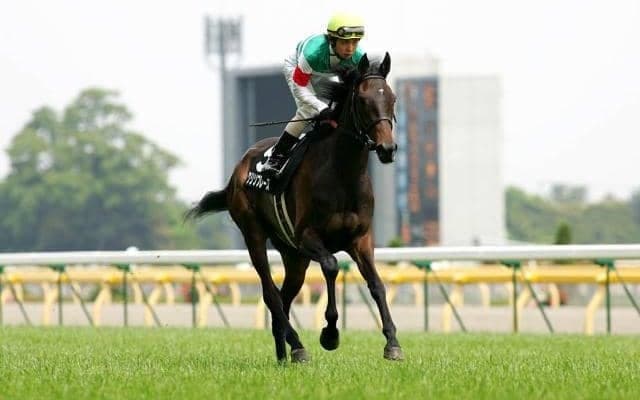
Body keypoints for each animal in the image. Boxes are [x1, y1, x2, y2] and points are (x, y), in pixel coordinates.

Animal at [186, 52, 403, 363]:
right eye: (363, 100)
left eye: (392, 98)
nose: (387, 148)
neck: (343, 174)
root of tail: (237, 172)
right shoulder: (307, 237)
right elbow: (331, 266)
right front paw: (330, 334)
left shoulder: (361, 238)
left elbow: (376, 283)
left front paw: (392, 342)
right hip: (254, 234)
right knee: (270, 292)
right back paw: (297, 345)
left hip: (293, 255)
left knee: (285, 294)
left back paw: (283, 352)